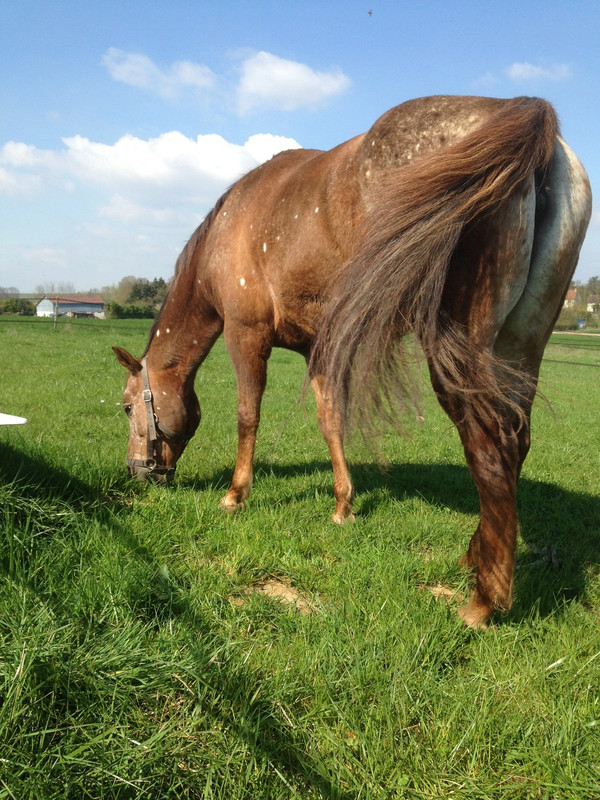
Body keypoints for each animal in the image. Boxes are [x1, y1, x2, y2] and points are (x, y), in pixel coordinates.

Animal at [112, 94, 592, 628]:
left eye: (129, 407)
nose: (138, 472)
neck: (232, 226)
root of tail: (520, 114)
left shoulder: (245, 333)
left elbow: (247, 416)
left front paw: (236, 495)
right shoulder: (318, 347)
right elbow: (331, 420)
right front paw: (343, 506)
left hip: (458, 357)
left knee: (490, 451)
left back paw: (483, 601)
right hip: (518, 349)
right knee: (516, 442)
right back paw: (475, 556)